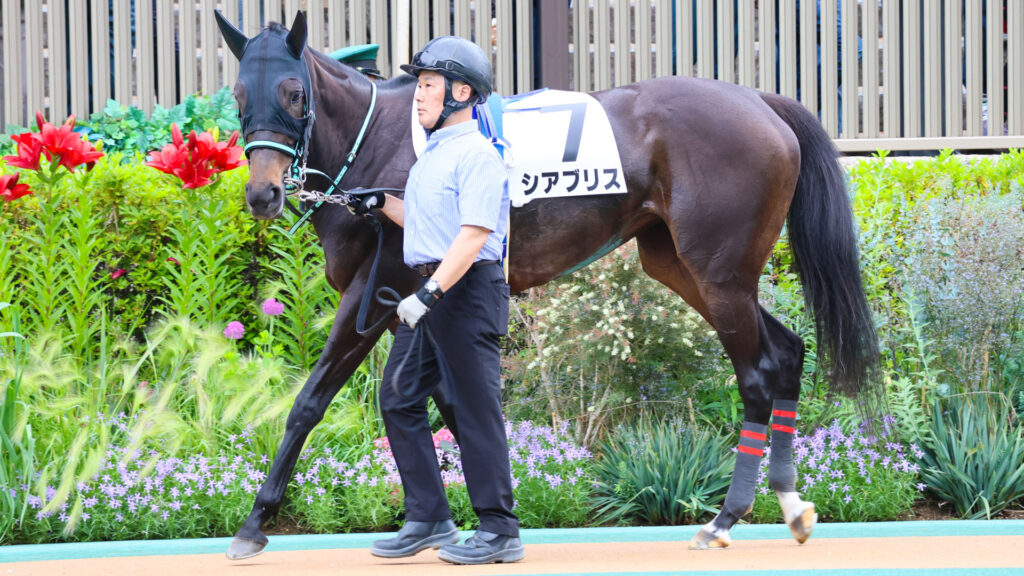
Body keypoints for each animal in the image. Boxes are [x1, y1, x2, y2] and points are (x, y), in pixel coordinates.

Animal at [215, 10, 880, 559]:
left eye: (294, 92)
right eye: (239, 94)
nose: (262, 193)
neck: (380, 145)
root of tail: (761, 100)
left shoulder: (378, 294)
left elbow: (312, 400)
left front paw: (254, 522)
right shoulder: (415, 306)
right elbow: (449, 406)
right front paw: (467, 518)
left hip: (719, 274)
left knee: (758, 373)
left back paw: (725, 519)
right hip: (686, 269)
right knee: (787, 352)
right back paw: (790, 506)